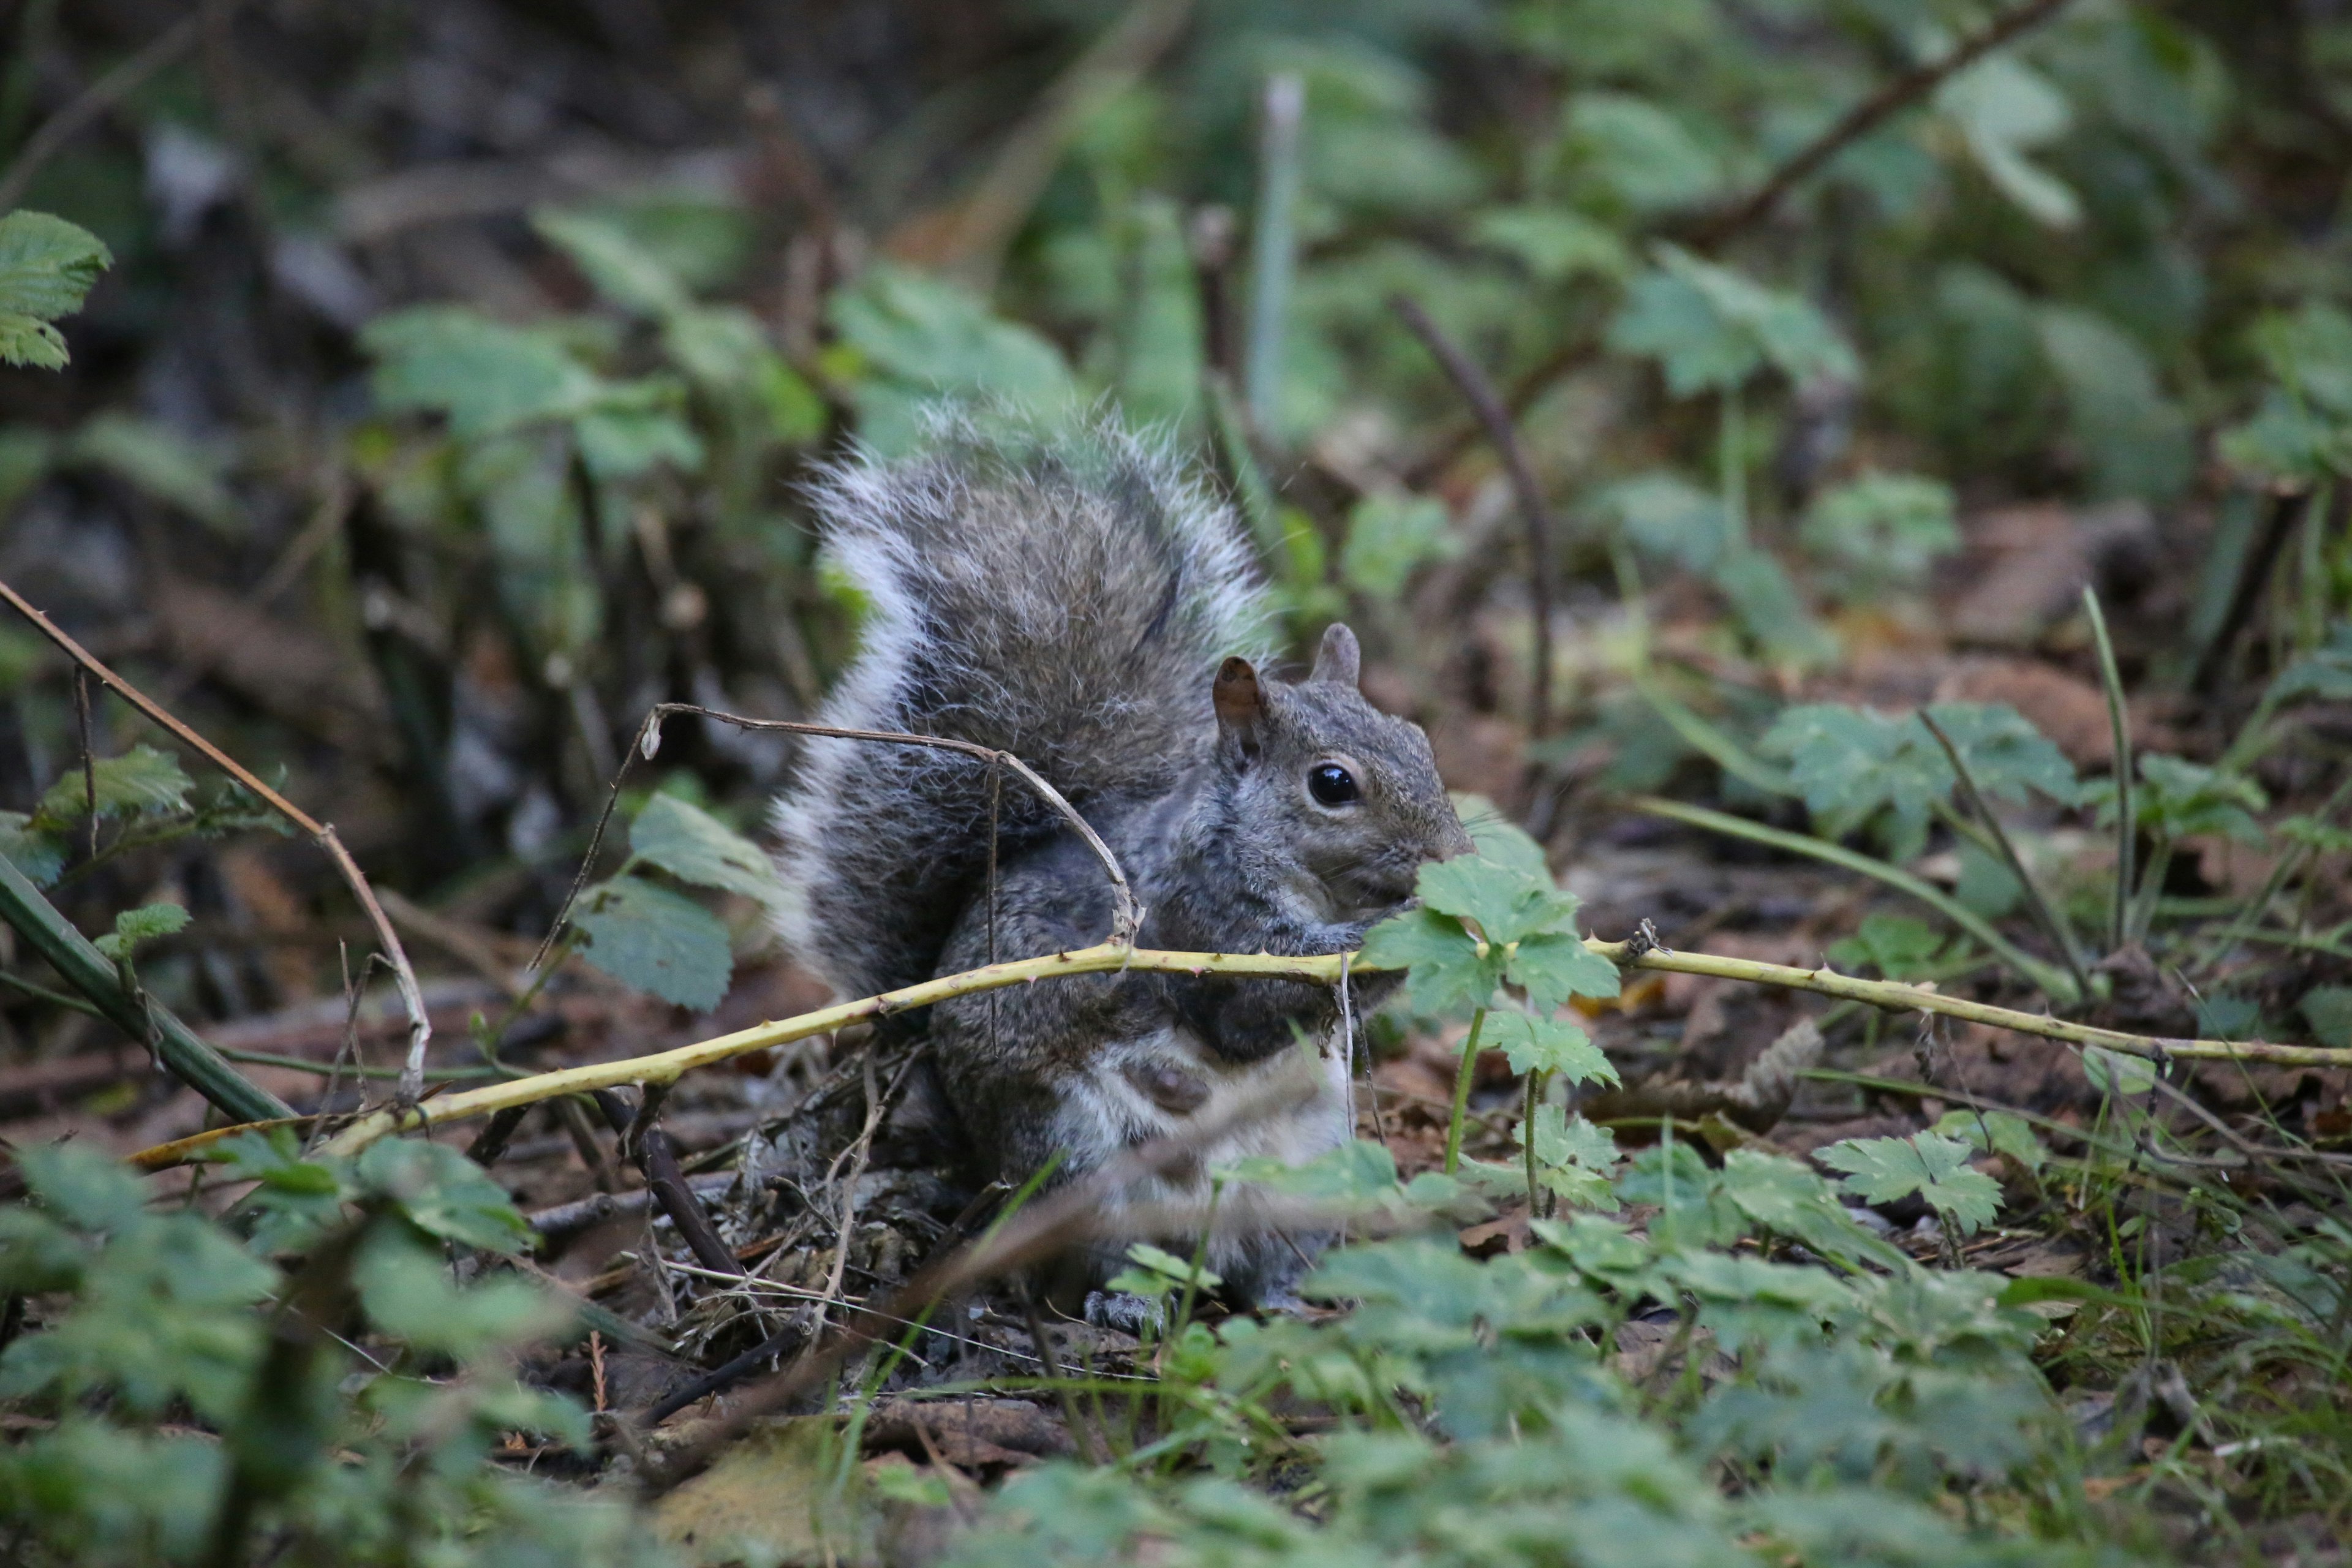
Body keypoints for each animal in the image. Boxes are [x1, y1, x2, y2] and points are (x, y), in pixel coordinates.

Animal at [771, 411, 1468, 1316]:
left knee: (1267, 1264)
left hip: (1315, 1169)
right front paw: (1400, 924)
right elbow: (1257, 1005)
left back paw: (1289, 1300)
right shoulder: (1204, 928)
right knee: (1104, 1263)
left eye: (1417, 738)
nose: (1455, 856)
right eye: (1333, 784)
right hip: (1081, 1164)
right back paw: (1129, 1305)